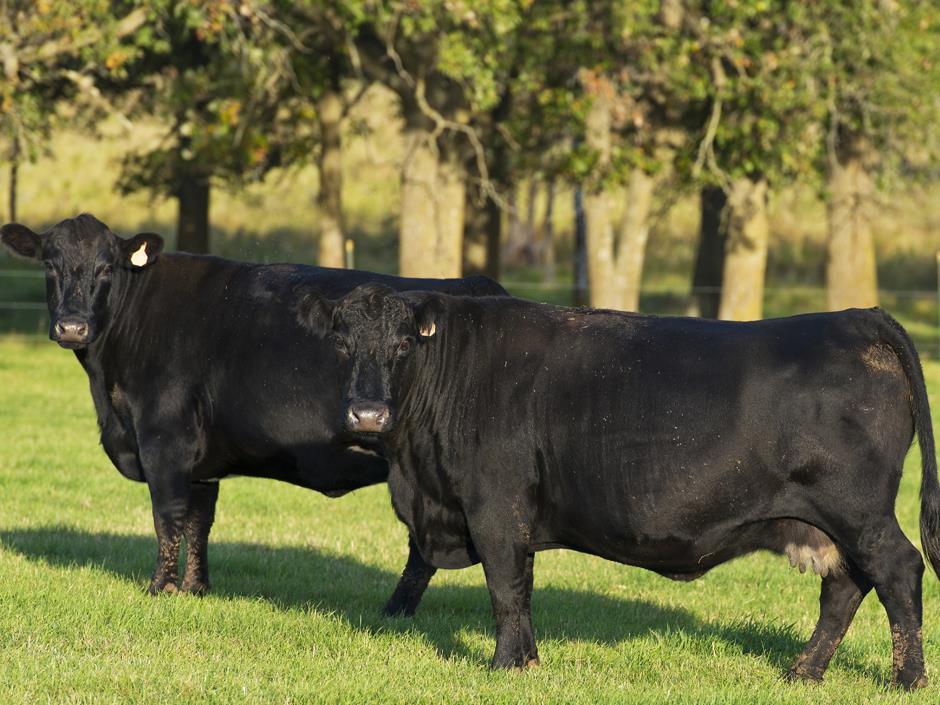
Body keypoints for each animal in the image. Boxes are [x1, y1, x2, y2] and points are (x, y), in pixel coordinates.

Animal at [0, 213, 507, 616]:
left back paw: (394, 611)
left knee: (424, 550)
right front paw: (195, 589)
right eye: (49, 264)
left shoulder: (163, 438)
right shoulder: (200, 459)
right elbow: (199, 520)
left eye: (107, 267)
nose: (72, 326)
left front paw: (159, 589)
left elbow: (168, 516)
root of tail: (480, 286)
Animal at [300, 283, 940, 689]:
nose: (366, 415)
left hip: (858, 511)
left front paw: (505, 666)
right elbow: (520, 589)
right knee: (846, 587)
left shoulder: (495, 508)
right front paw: (528, 662)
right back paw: (803, 672)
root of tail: (855, 317)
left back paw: (906, 680)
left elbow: (505, 587)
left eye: (404, 343)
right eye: (342, 343)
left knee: (898, 570)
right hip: (829, 522)